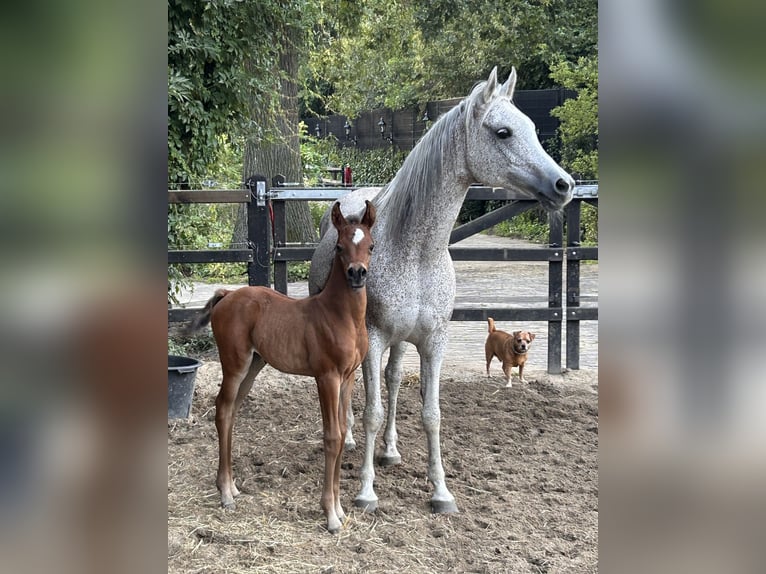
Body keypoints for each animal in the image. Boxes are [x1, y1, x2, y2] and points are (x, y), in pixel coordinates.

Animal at [187, 201, 376, 534]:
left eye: (371, 246)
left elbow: (343, 433)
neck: (341, 316)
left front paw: (340, 510)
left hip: (254, 365)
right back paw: (225, 493)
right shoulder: (326, 377)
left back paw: (232, 486)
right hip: (235, 363)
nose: (357, 274)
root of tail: (227, 294)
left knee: (231, 412)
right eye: (339, 247)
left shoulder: (348, 377)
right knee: (222, 409)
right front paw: (330, 514)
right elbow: (332, 436)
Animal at [308, 67, 574, 514]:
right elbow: (371, 410)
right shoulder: (373, 338)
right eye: (503, 132)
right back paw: (349, 439)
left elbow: (430, 412)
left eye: (533, 128)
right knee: (349, 387)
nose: (563, 185)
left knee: (394, 379)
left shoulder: (433, 341)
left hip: (401, 341)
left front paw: (440, 492)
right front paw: (366, 492)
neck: (416, 250)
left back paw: (390, 451)